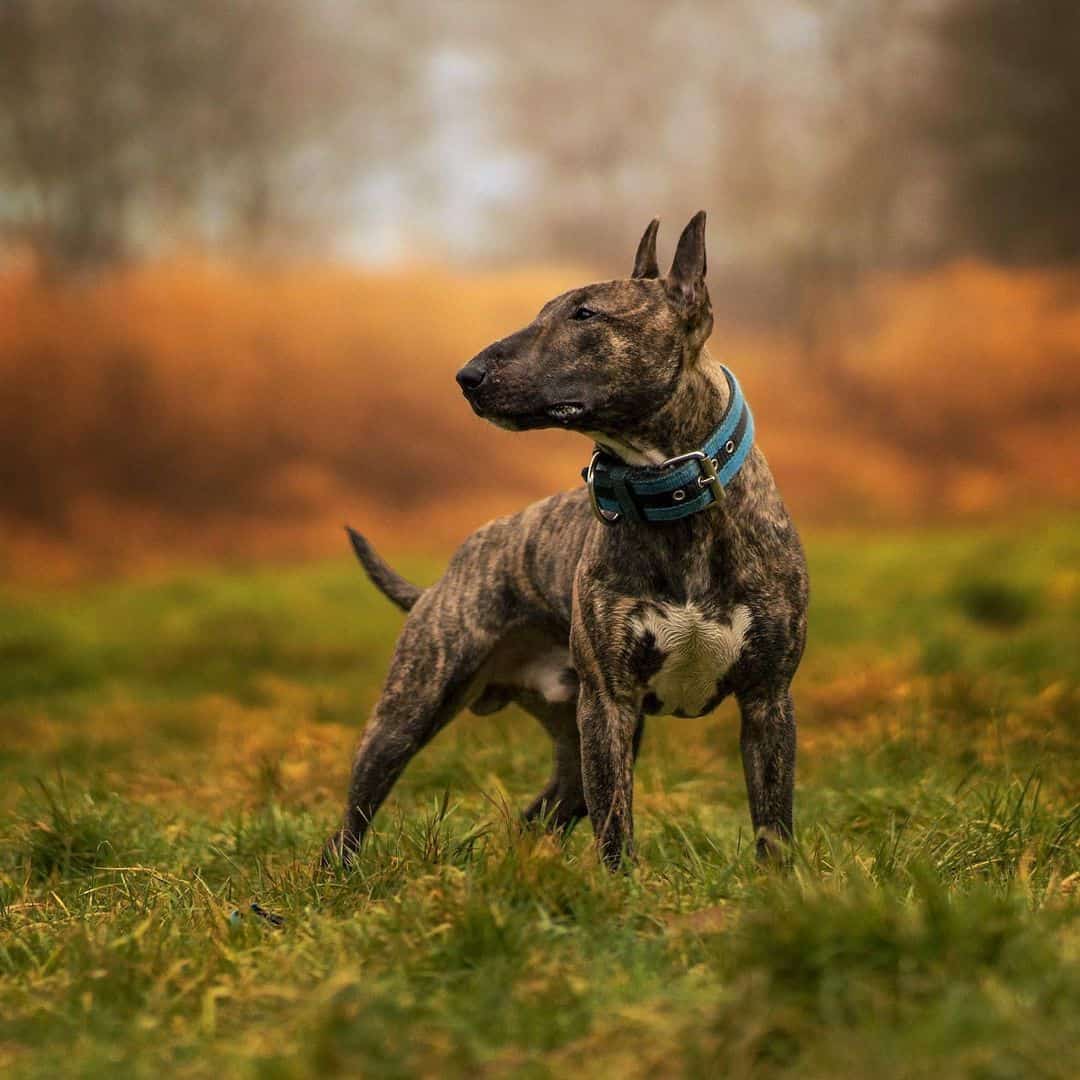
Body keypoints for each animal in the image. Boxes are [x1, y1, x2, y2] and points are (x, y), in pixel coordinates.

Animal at [324, 210, 807, 868]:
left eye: (586, 314)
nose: (467, 376)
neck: (672, 489)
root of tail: (445, 577)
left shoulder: (767, 702)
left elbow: (772, 825)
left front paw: (777, 888)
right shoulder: (608, 707)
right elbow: (616, 830)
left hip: (565, 751)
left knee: (538, 816)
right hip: (409, 711)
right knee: (352, 820)